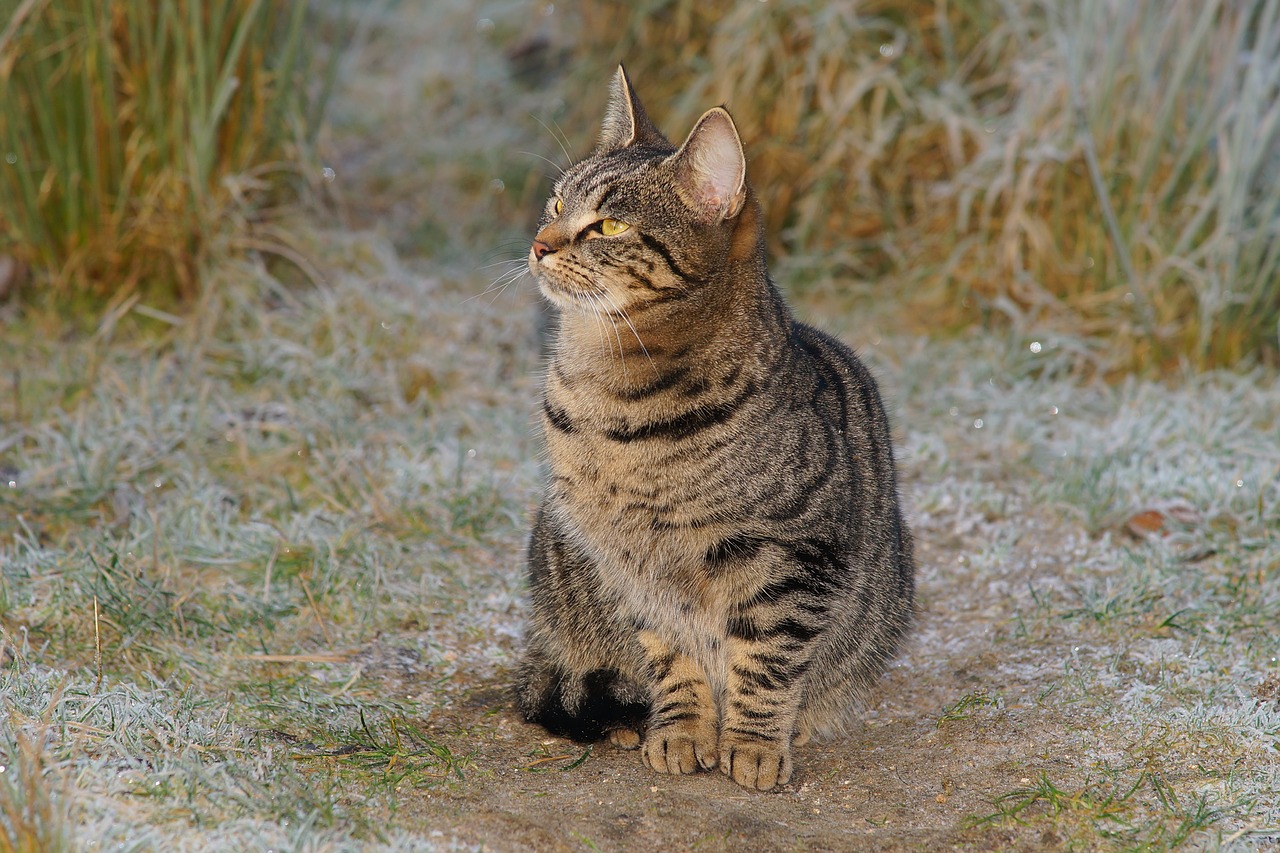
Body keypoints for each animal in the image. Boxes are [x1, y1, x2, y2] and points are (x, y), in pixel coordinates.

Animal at [514, 66, 916, 788]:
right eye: (556, 206)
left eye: (607, 224)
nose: (538, 244)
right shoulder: (631, 567)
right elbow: (671, 657)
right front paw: (681, 728)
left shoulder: (794, 559)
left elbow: (767, 662)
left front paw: (754, 743)